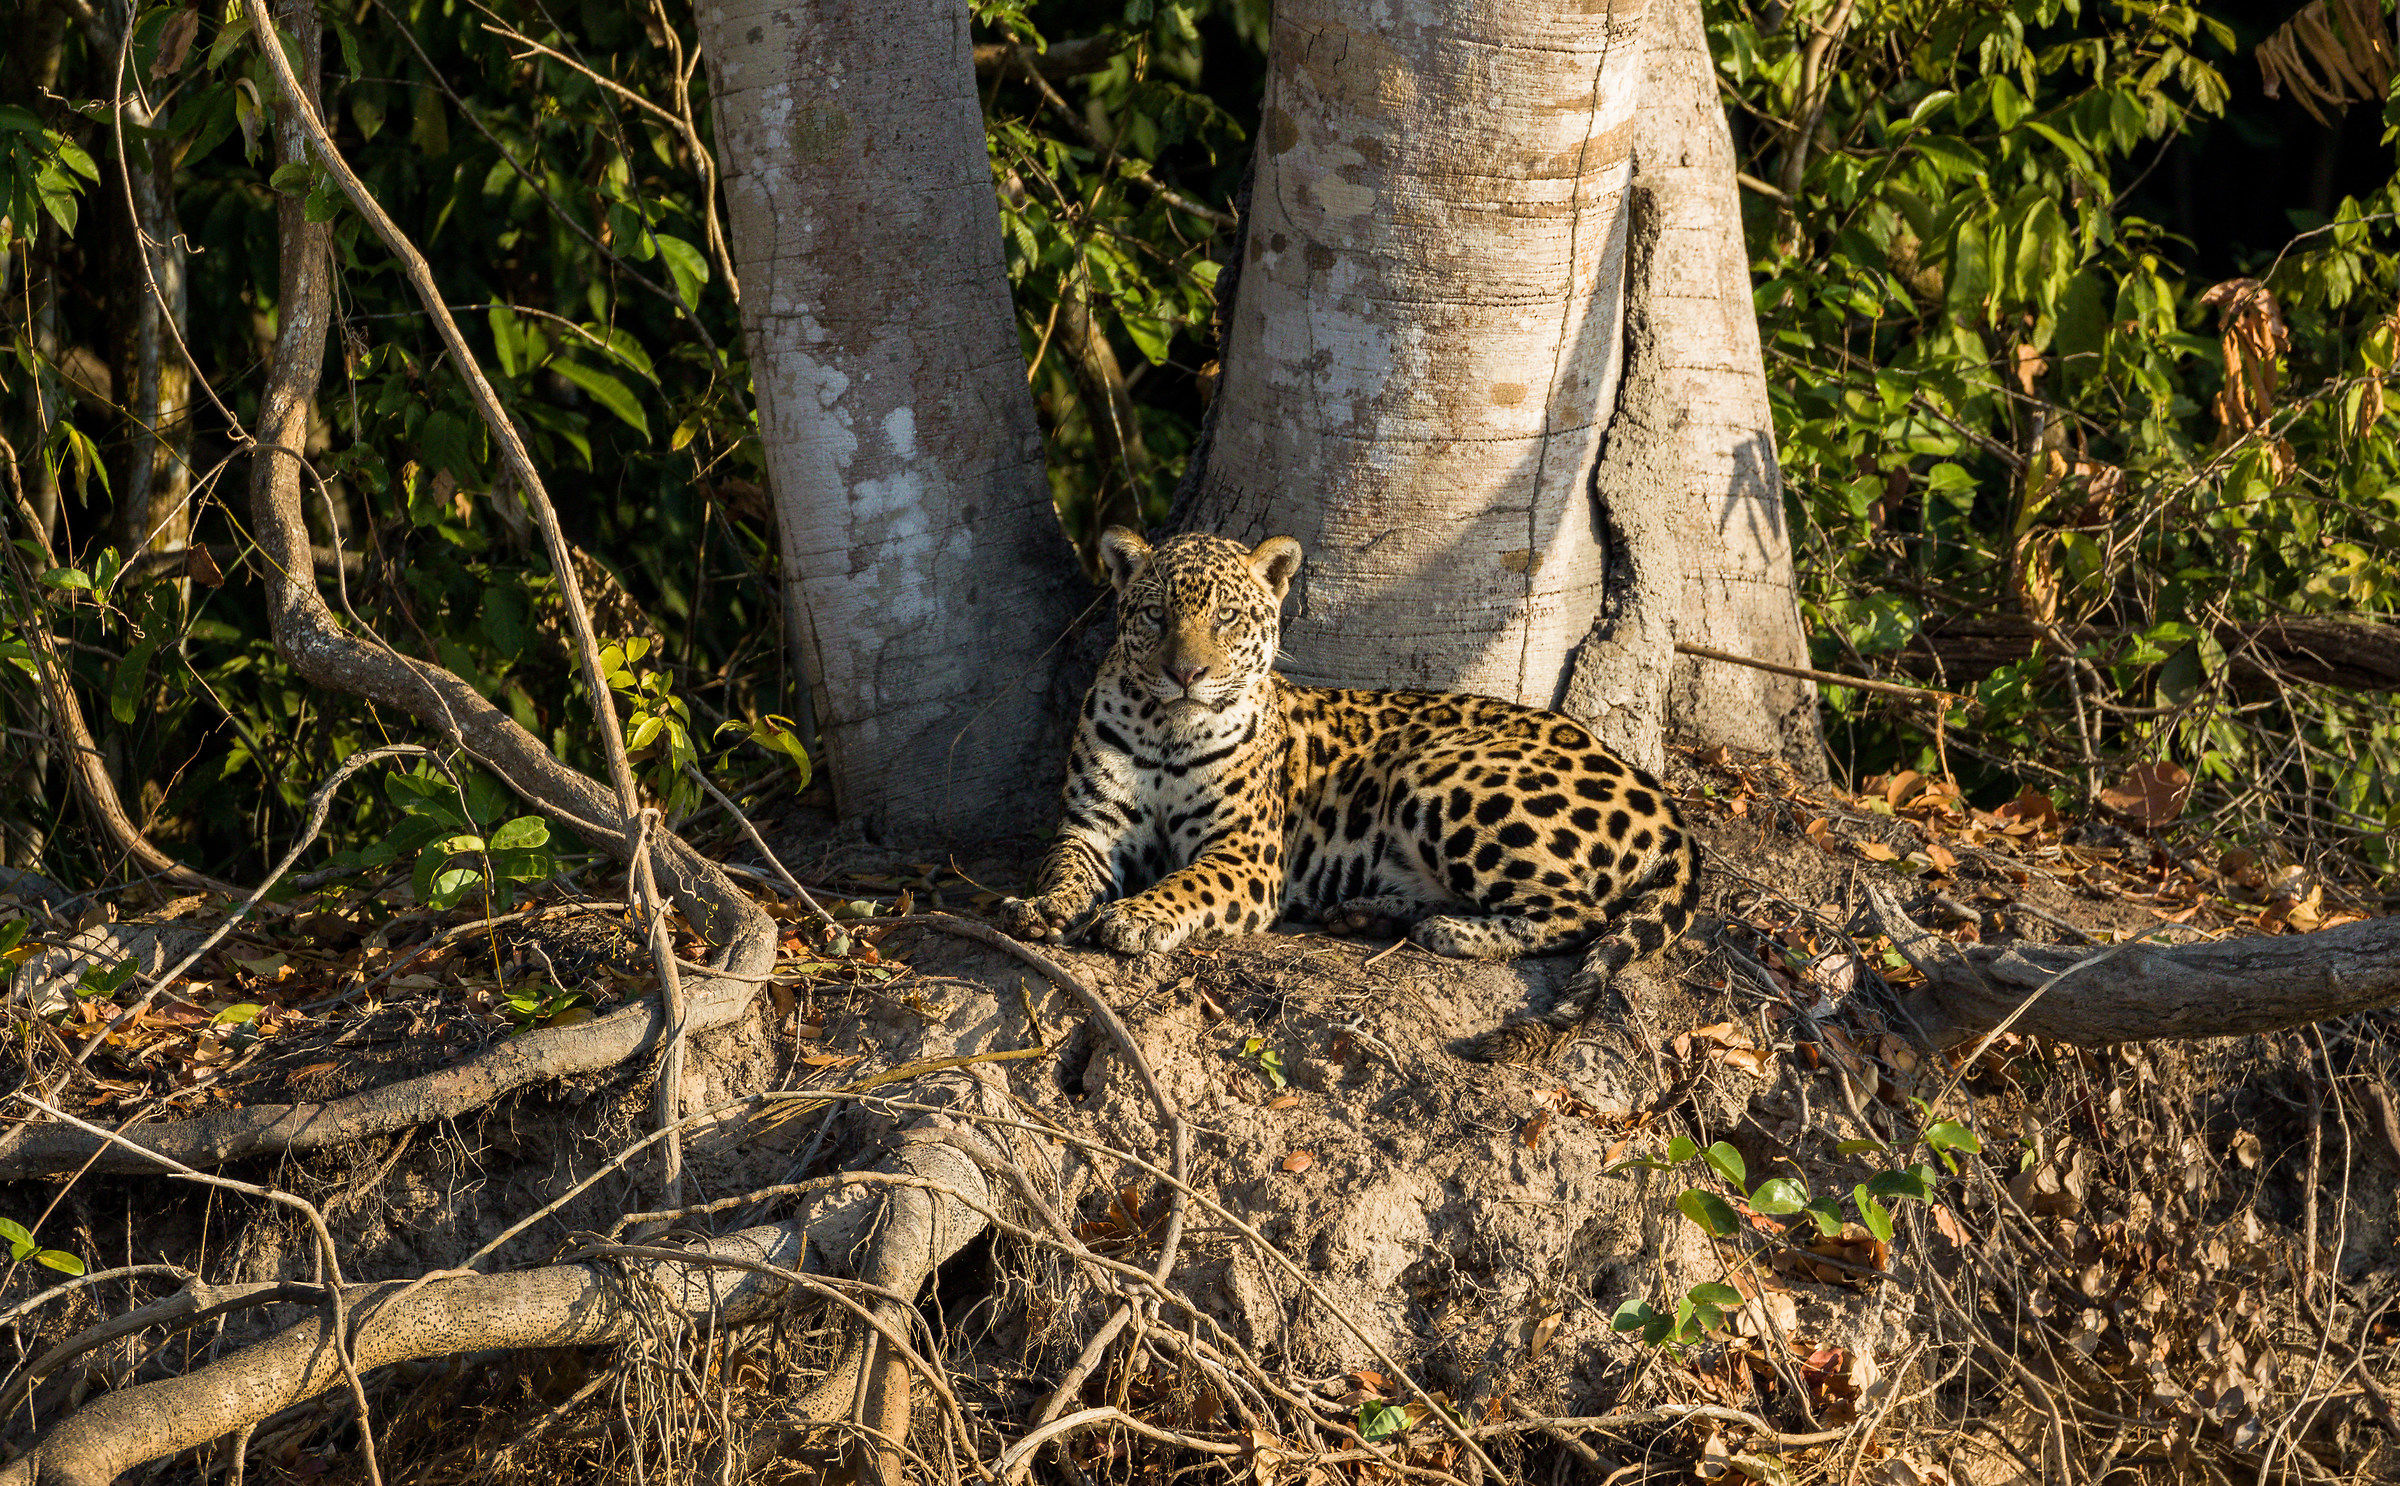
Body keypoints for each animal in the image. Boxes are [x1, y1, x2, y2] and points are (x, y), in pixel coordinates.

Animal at [1000, 527, 1697, 1063]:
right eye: (1155, 616)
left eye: (1226, 617)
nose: (1185, 673)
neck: (1166, 730)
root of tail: (1661, 798)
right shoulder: (1091, 828)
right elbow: (1064, 867)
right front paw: (1042, 906)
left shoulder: (1244, 854)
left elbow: (1185, 882)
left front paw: (1136, 916)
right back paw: (1368, 913)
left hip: (1438, 770)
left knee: (1584, 914)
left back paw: (1450, 932)